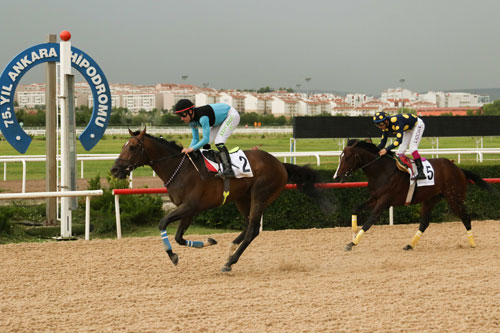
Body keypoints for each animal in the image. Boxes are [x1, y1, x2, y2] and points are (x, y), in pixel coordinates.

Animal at [111, 128, 334, 272]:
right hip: (243, 199)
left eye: (132, 147)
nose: (115, 169)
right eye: (123, 145)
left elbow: (163, 223)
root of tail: (280, 164)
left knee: (253, 229)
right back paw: (231, 249)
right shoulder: (189, 209)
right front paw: (209, 241)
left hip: (260, 195)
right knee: (250, 226)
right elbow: (179, 237)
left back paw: (230, 262)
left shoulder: (189, 206)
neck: (180, 169)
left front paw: (173, 256)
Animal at [334, 139, 494, 250]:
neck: (382, 171)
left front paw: (352, 243)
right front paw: (353, 230)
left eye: (346, 158)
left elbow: (369, 221)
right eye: (340, 157)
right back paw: (409, 245)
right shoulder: (374, 198)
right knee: (424, 223)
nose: (336, 176)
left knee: (466, 218)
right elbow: (355, 208)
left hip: (455, 198)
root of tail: (458, 169)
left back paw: (472, 243)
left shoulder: (384, 200)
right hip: (430, 199)